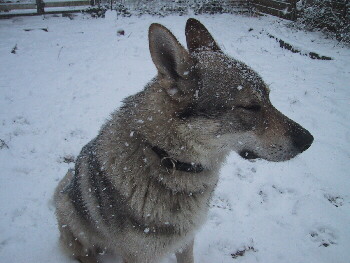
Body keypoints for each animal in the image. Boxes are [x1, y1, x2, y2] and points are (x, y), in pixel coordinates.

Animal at [55, 18, 314, 263]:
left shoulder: (186, 241)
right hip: (72, 219)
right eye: (250, 107)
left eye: (269, 98)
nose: (309, 140)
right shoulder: (138, 256)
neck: (165, 158)